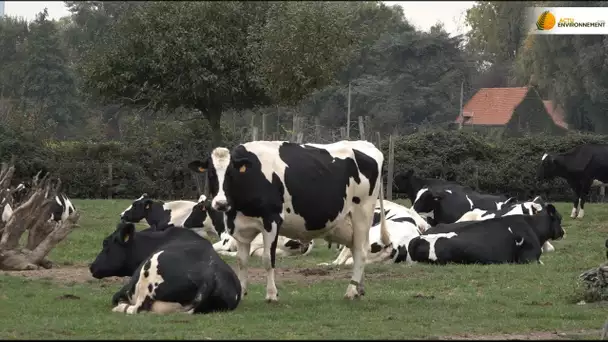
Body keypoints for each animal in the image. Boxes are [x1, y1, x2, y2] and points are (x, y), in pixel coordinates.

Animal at [188, 140, 392, 304]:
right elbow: (241, 261)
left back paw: (350, 291)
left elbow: (267, 260)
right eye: (211, 174)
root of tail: (367, 144)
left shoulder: (271, 221)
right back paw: (359, 289)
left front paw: (271, 295)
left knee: (360, 251)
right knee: (358, 249)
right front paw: (242, 292)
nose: (221, 203)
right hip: (347, 223)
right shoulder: (240, 227)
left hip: (362, 212)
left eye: (231, 173)